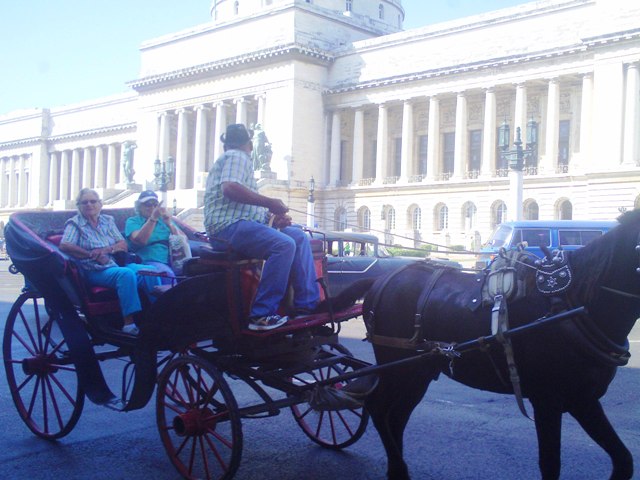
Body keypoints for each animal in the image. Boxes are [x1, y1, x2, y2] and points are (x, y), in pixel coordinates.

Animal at [360, 210, 640, 480]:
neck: (572, 303)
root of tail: (380, 281)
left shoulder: (583, 399)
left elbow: (624, 461)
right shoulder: (547, 400)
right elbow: (550, 464)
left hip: (418, 373)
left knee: (396, 416)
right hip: (397, 368)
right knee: (378, 407)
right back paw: (397, 466)